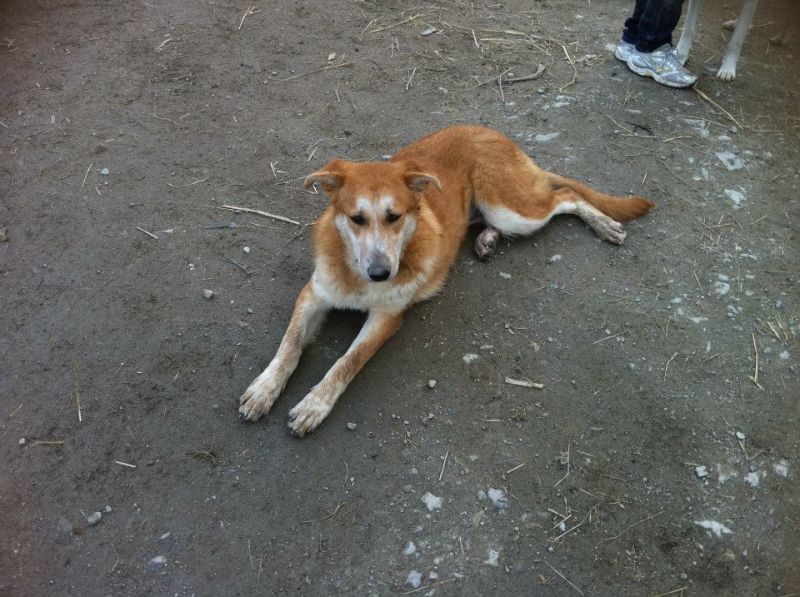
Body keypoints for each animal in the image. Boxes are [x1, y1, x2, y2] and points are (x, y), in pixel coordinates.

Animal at [236, 125, 648, 434]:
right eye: (356, 219)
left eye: (395, 216)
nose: (381, 274)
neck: (355, 271)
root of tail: (491, 131)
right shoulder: (314, 294)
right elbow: (289, 345)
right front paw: (265, 388)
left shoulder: (386, 317)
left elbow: (346, 362)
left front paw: (315, 404)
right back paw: (486, 240)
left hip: (512, 208)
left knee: (565, 196)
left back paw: (603, 223)